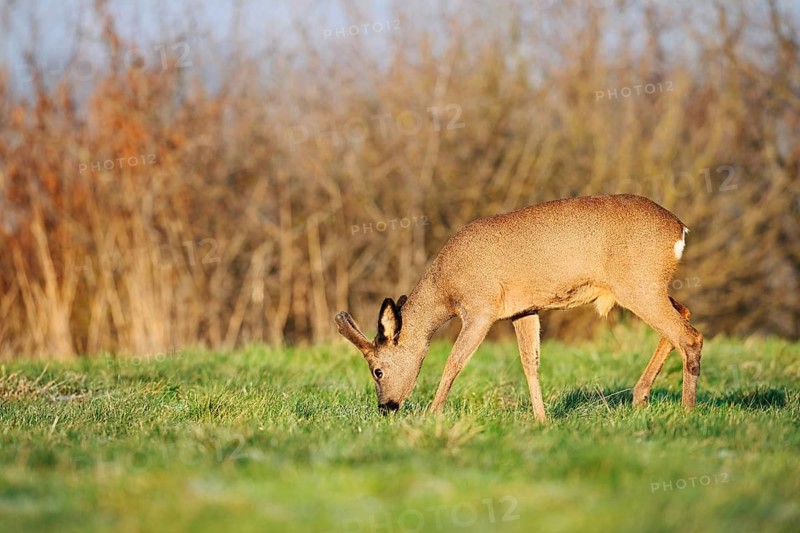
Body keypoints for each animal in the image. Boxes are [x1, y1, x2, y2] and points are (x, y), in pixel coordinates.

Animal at [334, 194, 703, 421]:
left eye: (377, 370)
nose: (386, 408)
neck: (446, 286)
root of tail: (679, 229)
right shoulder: (523, 310)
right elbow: (531, 363)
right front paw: (542, 419)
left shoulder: (481, 306)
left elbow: (454, 361)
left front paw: (432, 414)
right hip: (647, 287)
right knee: (683, 318)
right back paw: (640, 397)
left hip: (639, 284)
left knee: (690, 336)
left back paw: (686, 413)